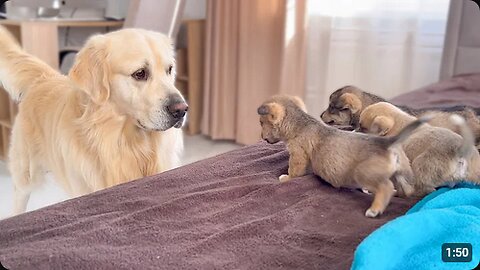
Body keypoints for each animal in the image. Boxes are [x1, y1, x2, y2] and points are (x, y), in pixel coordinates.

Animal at [0, 25, 188, 215]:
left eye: (169, 69)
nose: (181, 110)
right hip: (25, 174)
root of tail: (44, 79)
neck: (128, 145)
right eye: (140, 73)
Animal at [256, 95, 426, 217]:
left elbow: (294, 172)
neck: (299, 124)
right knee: (406, 190)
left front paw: (286, 178)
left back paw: (374, 209)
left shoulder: (298, 155)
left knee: (386, 187)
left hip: (363, 174)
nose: (262, 138)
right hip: (402, 173)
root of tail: (387, 143)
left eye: (261, 123)